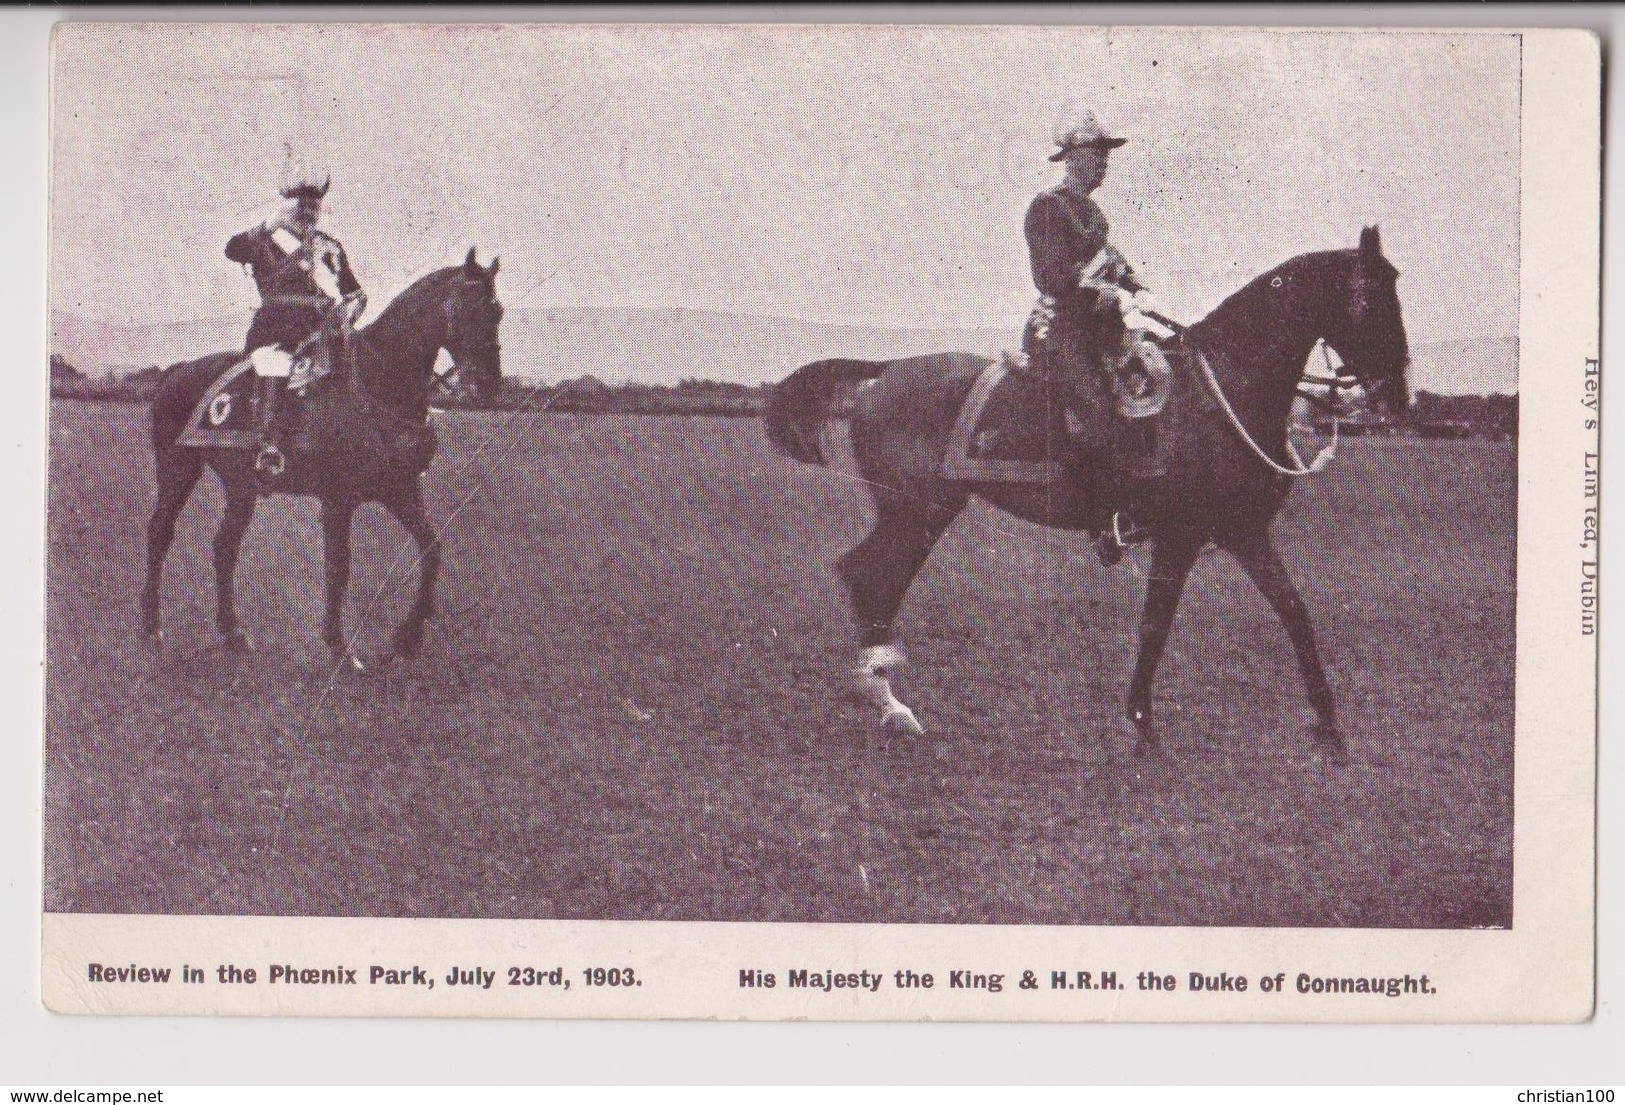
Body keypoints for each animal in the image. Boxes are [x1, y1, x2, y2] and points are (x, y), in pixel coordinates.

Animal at [143, 248, 503, 666]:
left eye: (498, 312)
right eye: (471, 309)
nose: (489, 385)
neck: (380, 383)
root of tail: (177, 370)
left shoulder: (400, 489)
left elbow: (432, 548)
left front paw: (408, 637)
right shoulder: (338, 500)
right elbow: (338, 566)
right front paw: (340, 648)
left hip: (241, 486)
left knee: (224, 547)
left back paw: (234, 635)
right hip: (178, 469)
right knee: (160, 533)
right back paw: (151, 629)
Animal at [763, 229, 1410, 754]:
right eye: (1371, 300)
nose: (1398, 393)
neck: (1221, 394)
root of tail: (882, 373)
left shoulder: (1244, 531)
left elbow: (1294, 611)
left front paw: (1330, 723)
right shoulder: (1180, 537)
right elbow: (1156, 624)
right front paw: (1143, 724)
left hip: (920, 510)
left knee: (869, 575)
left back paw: (882, 697)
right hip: (919, 509)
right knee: (871, 576)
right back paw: (886, 700)